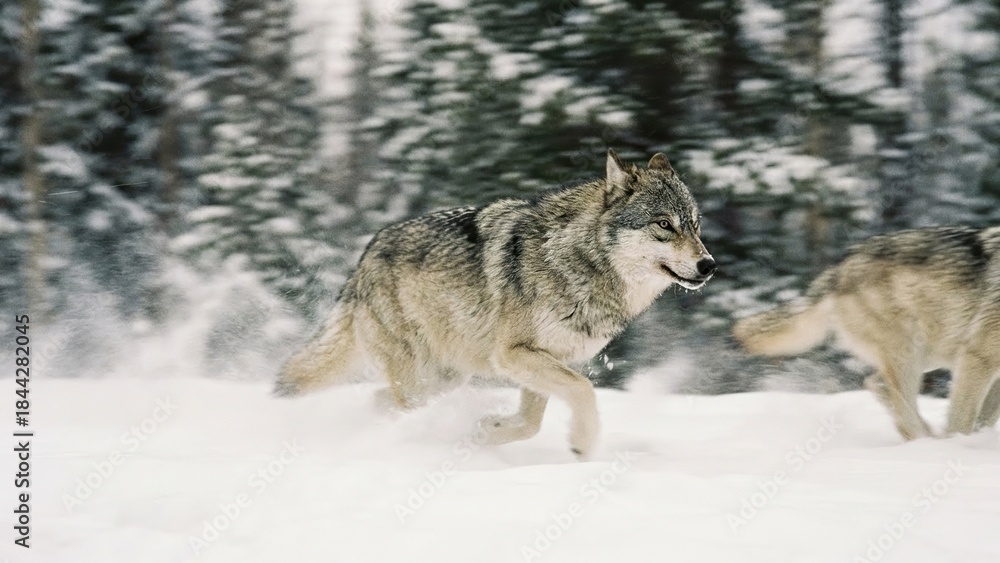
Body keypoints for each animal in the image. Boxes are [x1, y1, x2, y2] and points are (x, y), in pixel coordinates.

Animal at [275, 150, 716, 458]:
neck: (582, 260)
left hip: (443, 378)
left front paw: (488, 432)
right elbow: (584, 391)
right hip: (422, 377)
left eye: (695, 226)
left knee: (379, 399)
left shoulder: (548, 359)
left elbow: (532, 422)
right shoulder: (514, 354)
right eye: (664, 224)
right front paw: (583, 444)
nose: (709, 265)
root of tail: (365, 256)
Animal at [733, 227, 1000, 441]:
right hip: (910, 355)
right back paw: (926, 444)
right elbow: (962, 422)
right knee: (900, 408)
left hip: (930, 355)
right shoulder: (977, 358)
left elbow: (983, 421)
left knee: (877, 384)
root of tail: (842, 265)